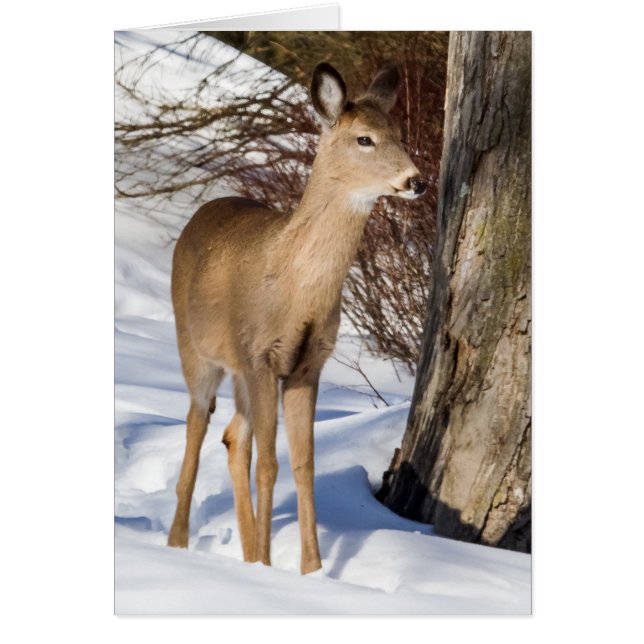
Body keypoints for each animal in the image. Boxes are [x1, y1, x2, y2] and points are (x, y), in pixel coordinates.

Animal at [166, 62, 427, 574]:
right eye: (365, 139)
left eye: (400, 134)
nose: (416, 180)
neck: (296, 291)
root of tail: (203, 210)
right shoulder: (261, 355)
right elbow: (270, 464)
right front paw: (273, 568)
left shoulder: (307, 363)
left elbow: (304, 465)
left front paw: (311, 571)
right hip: (197, 349)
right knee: (197, 425)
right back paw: (178, 544)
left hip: (241, 373)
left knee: (233, 437)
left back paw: (247, 552)